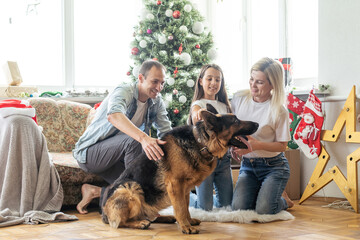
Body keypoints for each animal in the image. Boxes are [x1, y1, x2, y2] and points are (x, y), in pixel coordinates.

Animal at [100, 104, 258, 233]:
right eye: (235, 121)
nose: (257, 124)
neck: (200, 143)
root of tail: (103, 211)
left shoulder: (186, 188)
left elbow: (185, 207)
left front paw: (189, 221)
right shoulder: (175, 185)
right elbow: (180, 208)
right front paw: (186, 227)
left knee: (149, 216)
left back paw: (165, 218)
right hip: (130, 189)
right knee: (121, 222)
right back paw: (140, 223)